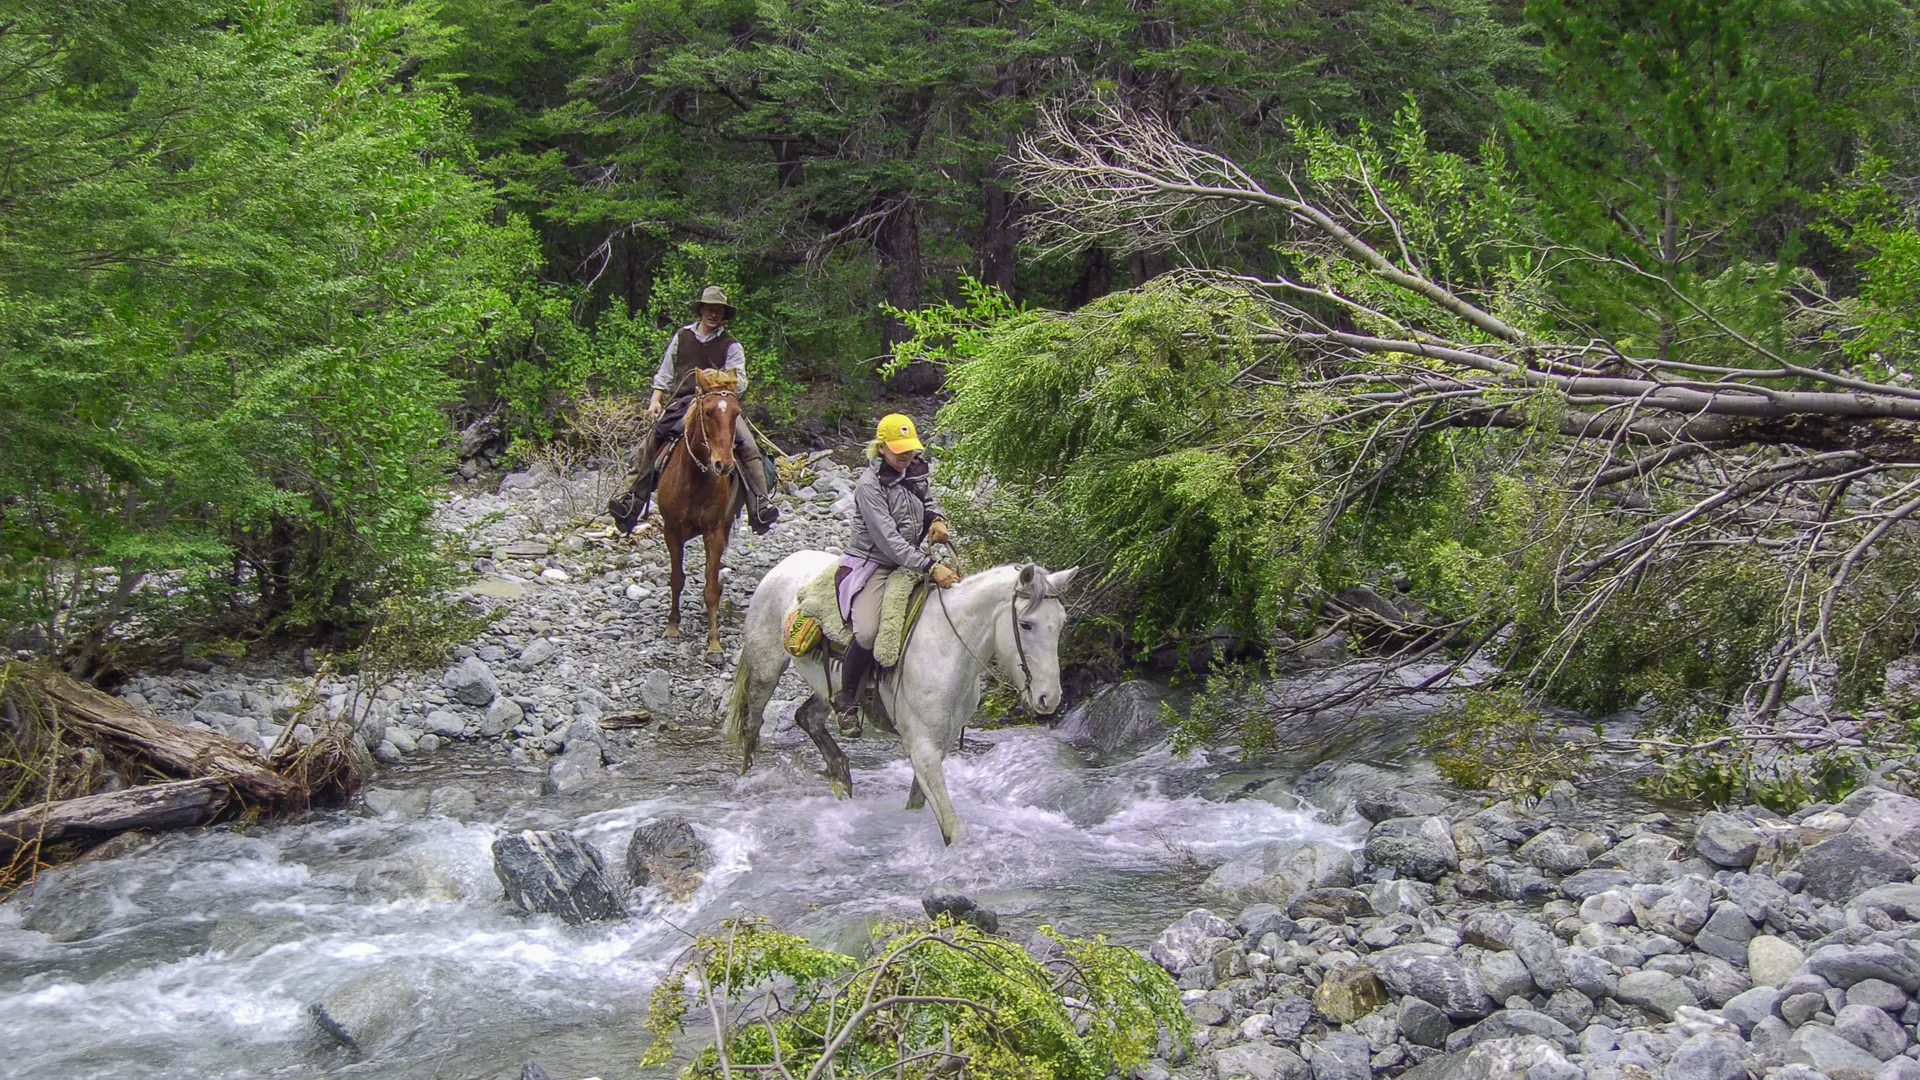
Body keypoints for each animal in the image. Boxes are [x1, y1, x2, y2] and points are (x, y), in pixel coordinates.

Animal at [660, 367, 748, 657]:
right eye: (708, 412)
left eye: (736, 412)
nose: (724, 465)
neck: (695, 479)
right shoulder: (671, 531)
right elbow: (676, 579)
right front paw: (672, 626)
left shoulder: (715, 531)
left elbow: (710, 589)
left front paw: (714, 643)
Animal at [721, 549, 1082, 845]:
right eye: (1026, 624)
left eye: (1062, 622)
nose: (1049, 698)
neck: (947, 646)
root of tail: (783, 564)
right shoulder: (923, 749)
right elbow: (954, 830)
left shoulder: (939, 745)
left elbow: (918, 804)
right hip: (766, 669)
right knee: (752, 724)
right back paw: (749, 781)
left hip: (828, 689)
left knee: (806, 717)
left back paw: (842, 778)